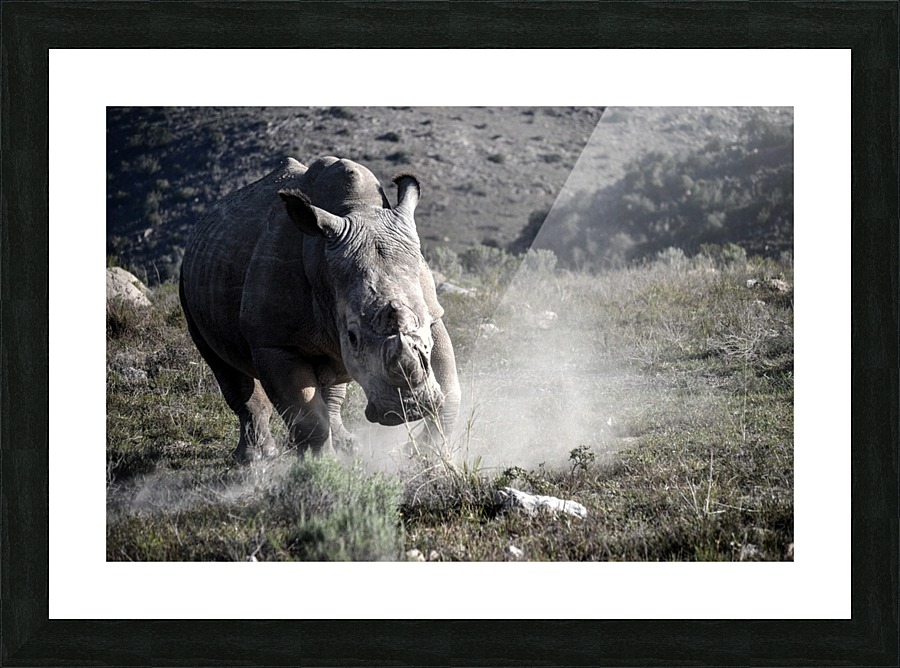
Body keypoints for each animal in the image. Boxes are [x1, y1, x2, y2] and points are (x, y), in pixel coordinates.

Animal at [179, 156, 460, 461]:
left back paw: (349, 445)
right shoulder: (275, 342)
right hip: (188, 282)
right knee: (227, 371)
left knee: (333, 377)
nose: (409, 408)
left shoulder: (434, 313)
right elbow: (307, 416)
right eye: (352, 337)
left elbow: (450, 388)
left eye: (424, 321)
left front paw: (425, 452)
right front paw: (321, 465)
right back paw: (256, 459)